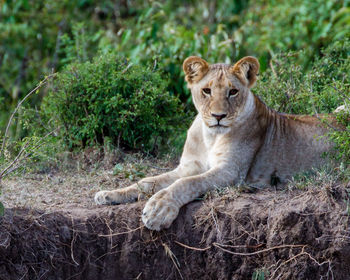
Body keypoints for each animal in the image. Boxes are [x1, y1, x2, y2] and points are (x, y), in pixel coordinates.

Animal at [94, 55, 334, 231]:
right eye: (206, 90)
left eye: (233, 91)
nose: (218, 116)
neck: (210, 137)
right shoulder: (188, 166)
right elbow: (147, 181)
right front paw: (109, 194)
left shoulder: (230, 172)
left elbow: (187, 183)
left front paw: (158, 209)